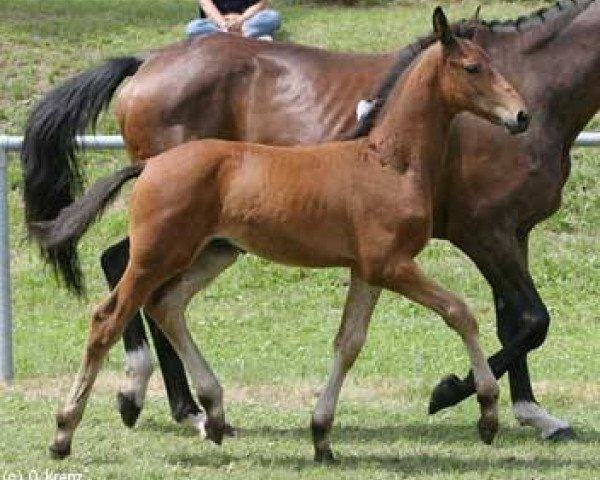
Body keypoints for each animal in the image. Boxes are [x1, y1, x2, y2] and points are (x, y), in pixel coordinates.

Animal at [22, 0, 600, 440]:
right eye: (475, 69)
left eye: (493, 66)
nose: (519, 117)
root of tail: (145, 63)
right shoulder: (480, 232)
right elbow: (525, 320)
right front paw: (455, 393)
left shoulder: (510, 232)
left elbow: (512, 320)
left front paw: (531, 411)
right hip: (175, 238)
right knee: (123, 285)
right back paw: (161, 406)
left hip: (209, 242)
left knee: (144, 286)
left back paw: (179, 405)